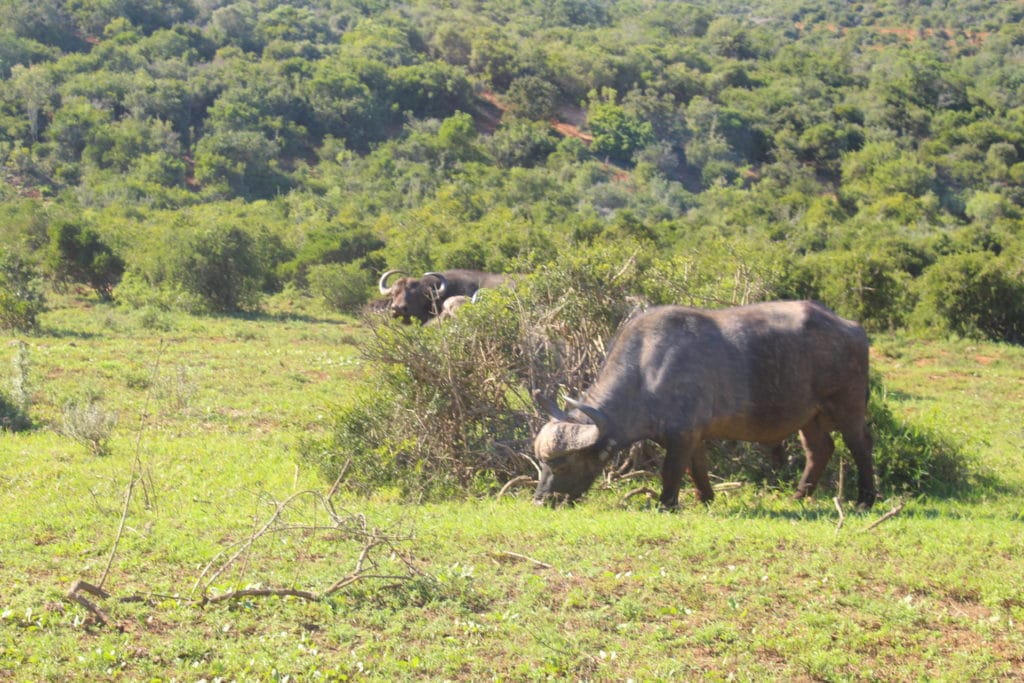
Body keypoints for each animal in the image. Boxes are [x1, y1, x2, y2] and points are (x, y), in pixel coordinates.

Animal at [532, 301, 876, 509]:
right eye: (542, 463)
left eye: (561, 464)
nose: (541, 499)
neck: (646, 371)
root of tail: (853, 328)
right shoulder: (693, 436)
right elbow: (697, 468)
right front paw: (705, 498)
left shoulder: (682, 435)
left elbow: (672, 470)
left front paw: (666, 504)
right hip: (809, 417)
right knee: (820, 450)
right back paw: (799, 495)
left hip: (847, 406)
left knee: (860, 447)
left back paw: (865, 499)